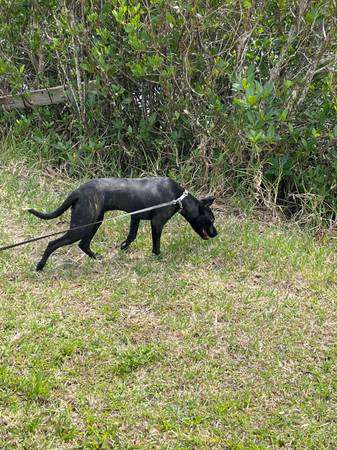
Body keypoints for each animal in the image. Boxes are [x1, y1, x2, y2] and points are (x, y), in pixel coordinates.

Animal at [28, 178, 218, 270]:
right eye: (211, 220)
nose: (216, 234)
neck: (178, 198)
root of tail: (78, 191)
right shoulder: (157, 223)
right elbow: (156, 243)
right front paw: (158, 255)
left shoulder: (136, 218)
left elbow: (131, 236)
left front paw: (123, 247)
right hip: (82, 226)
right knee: (53, 243)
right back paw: (40, 266)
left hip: (95, 222)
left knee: (83, 244)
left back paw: (97, 258)